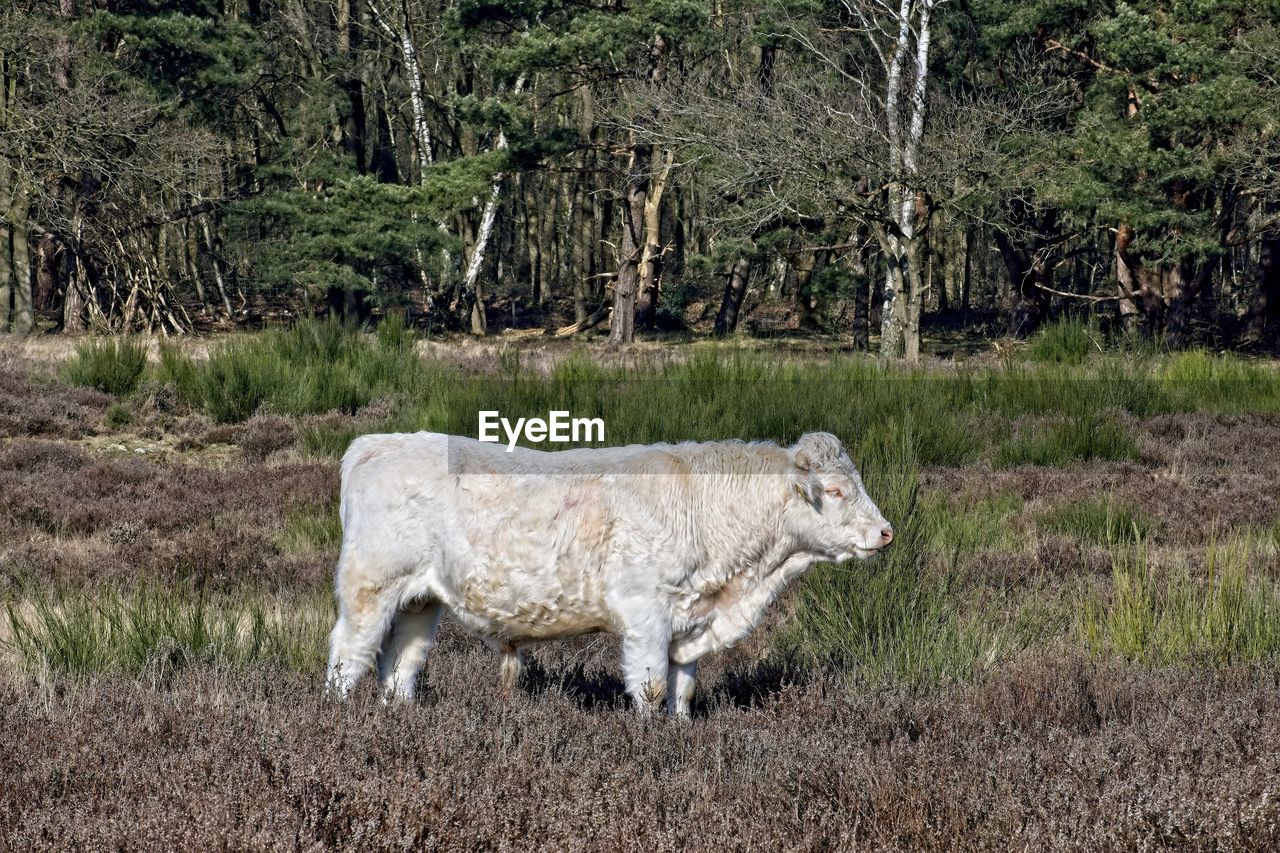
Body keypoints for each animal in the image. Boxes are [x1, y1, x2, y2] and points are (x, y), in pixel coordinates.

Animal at [325, 427, 896, 712]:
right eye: (836, 491)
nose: (886, 532)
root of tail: (375, 443)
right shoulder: (647, 614)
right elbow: (651, 688)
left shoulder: (689, 620)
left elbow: (682, 691)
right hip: (369, 587)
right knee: (348, 656)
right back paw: (335, 724)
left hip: (419, 600)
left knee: (401, 664)